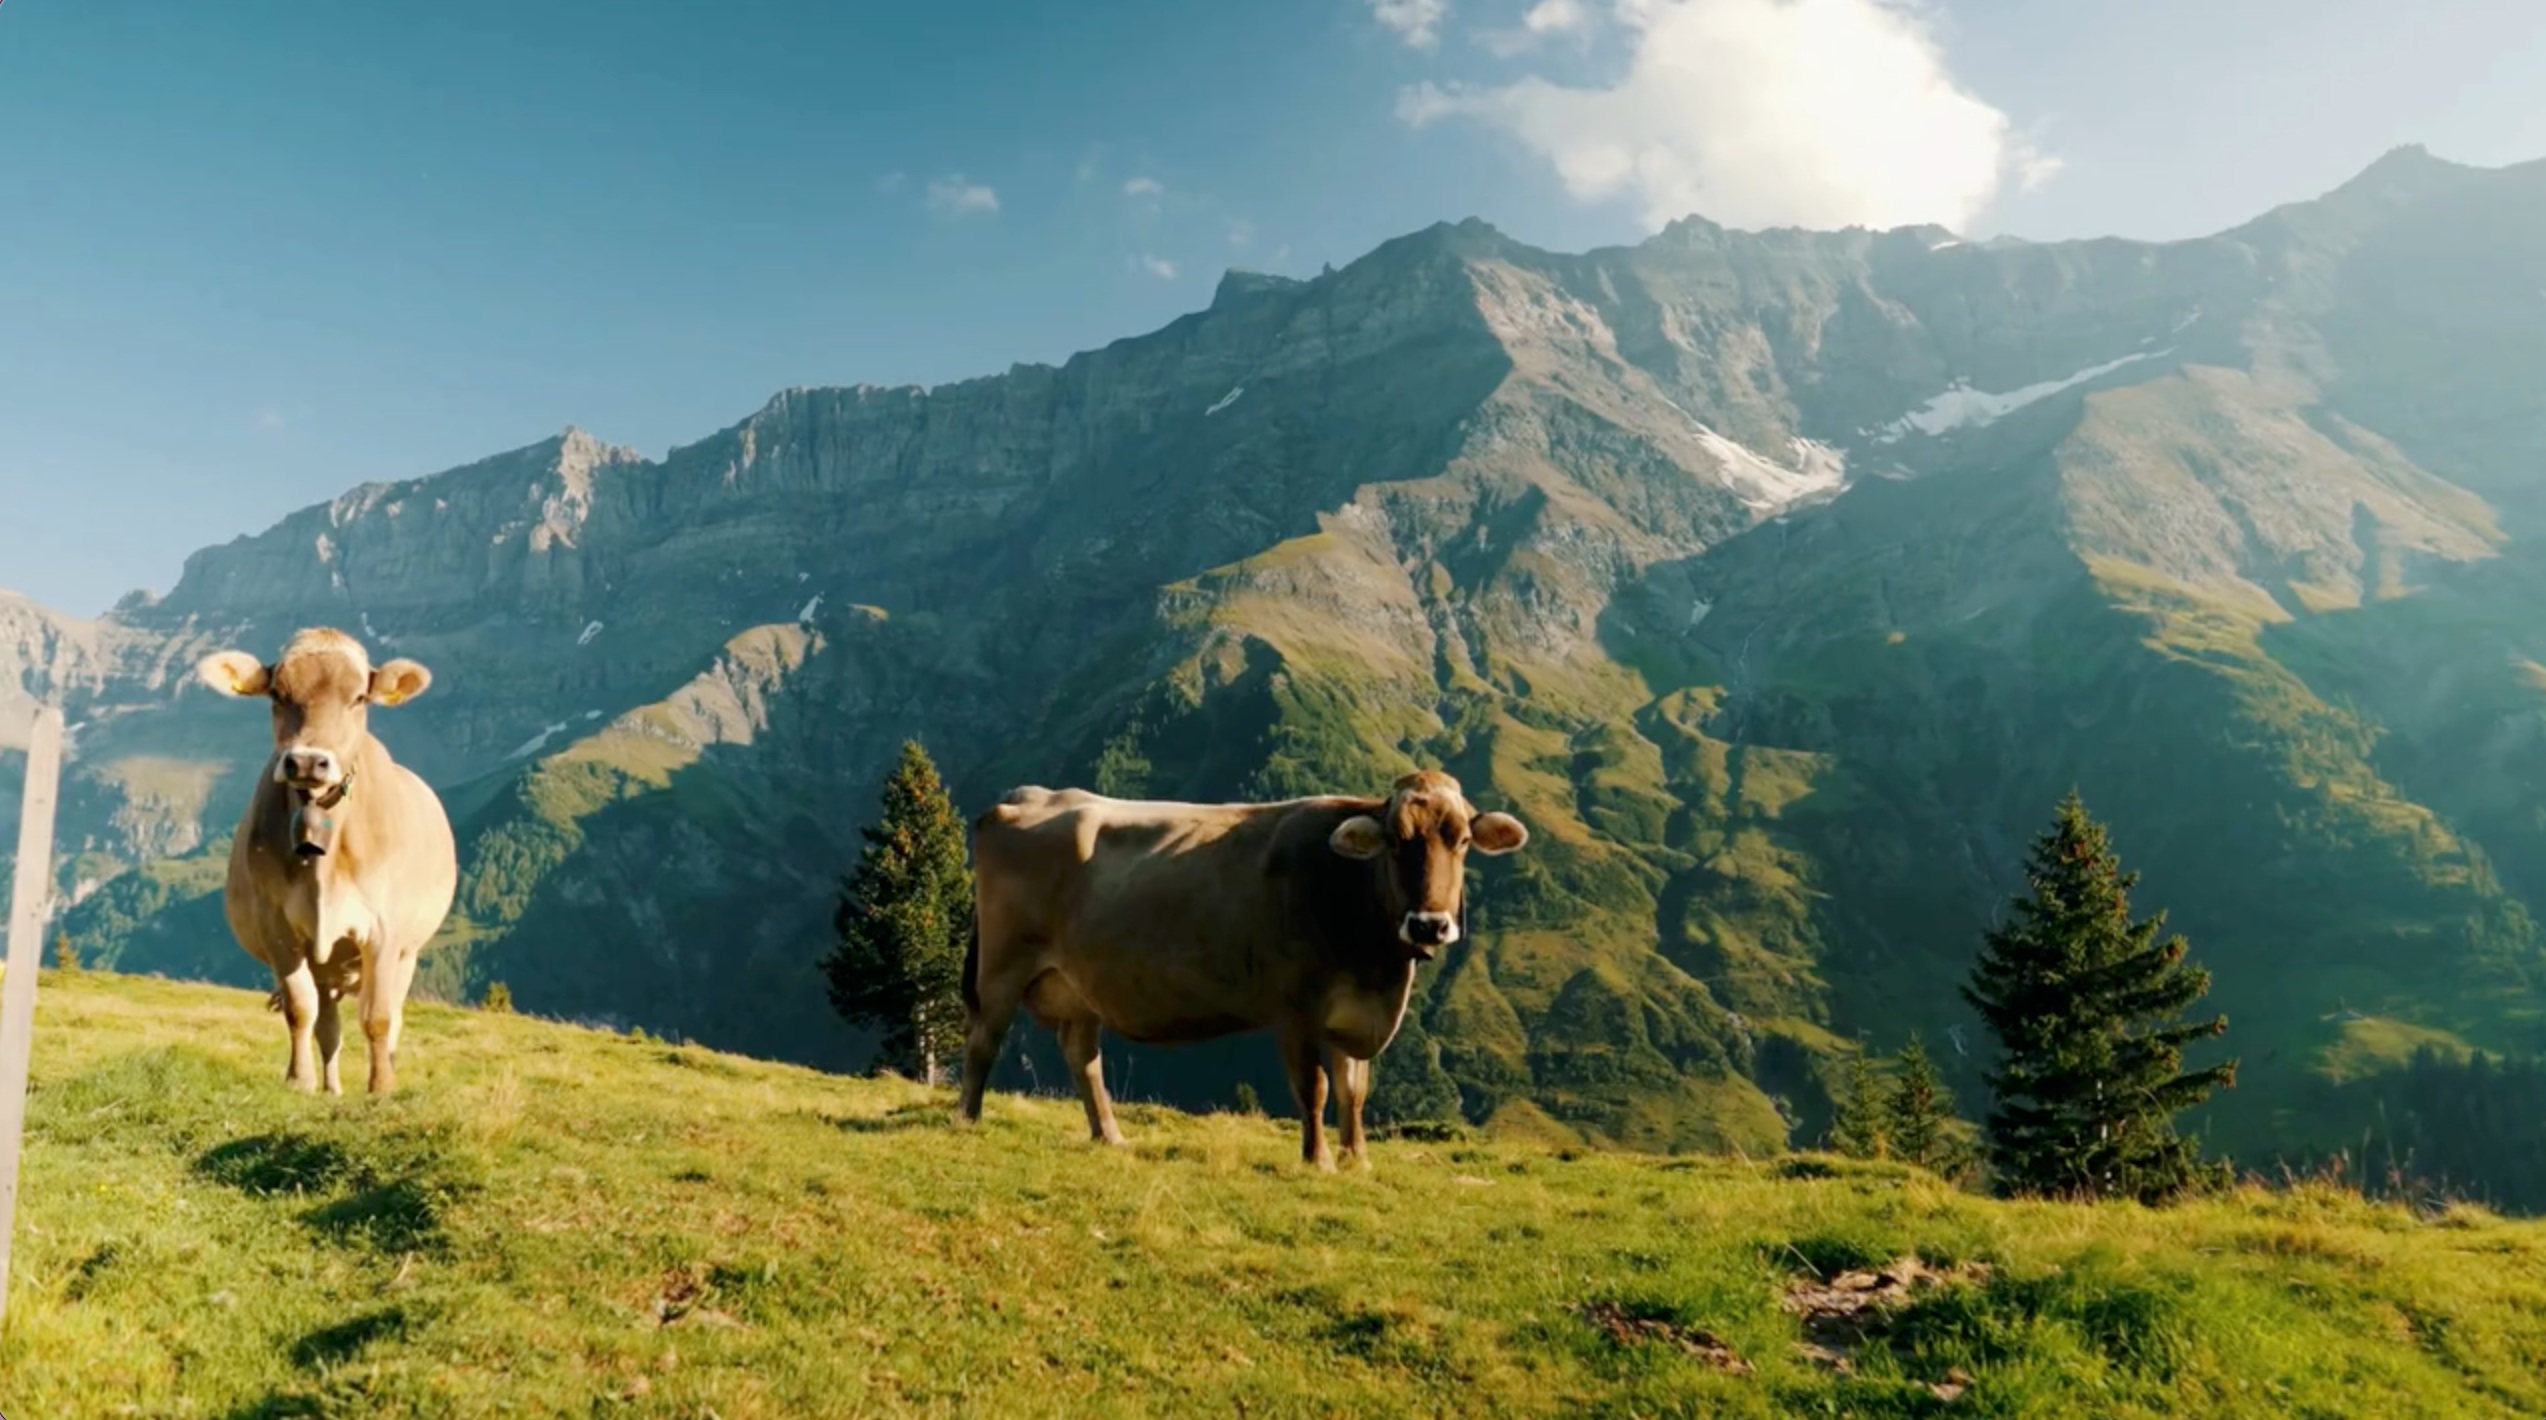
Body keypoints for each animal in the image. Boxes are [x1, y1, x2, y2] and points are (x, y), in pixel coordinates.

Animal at [195, 627, 459, 1095]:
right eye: (278, 694)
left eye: (359, 697)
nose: (305, 761)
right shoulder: (278, 926)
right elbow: (301, 1010)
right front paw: (300, 1081)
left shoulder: (385, 932)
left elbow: (378, 1018)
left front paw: (381, 1087)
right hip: (326, 966)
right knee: (329, 1026)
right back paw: (332, 1088)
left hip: (406, 955)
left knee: (391, 1018)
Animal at [958, 770, 1528, 1169]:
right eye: (1394, 841)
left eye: (1462, 841)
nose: (1430, 924)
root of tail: (1029, 796)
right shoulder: (1295, 1008)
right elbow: (1315, 1088)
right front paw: (1319, 1160)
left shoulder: (1352, 1011)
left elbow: (1354, 1089)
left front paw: (1358, 1159)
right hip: (1001, 966)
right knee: (984, 1038)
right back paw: (967, 1118)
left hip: (1078, 988)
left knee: (1083, 1057)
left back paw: (1111, 1135)